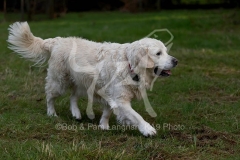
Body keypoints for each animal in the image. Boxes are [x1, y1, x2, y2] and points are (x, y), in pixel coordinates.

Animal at [7, 21, 177, 136]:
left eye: (166, 51)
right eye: (158, 53)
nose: (176, 61)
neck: (130, 65)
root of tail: (57, 40)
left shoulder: (109, 93)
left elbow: (108, 111)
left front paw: (103, 125)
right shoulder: (120, 99)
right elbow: (137, 116)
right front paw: (148, 129)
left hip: (83, 82)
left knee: (73, 96)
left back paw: (76, 113)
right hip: (59, 81)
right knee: (50, 96)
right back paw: (51, 113)